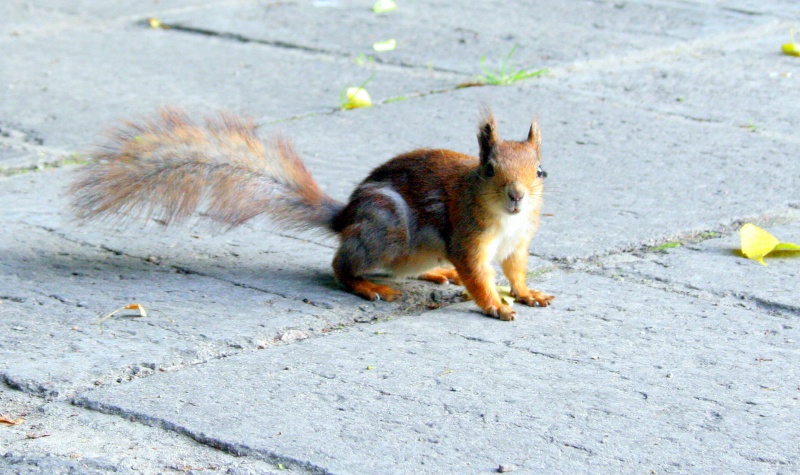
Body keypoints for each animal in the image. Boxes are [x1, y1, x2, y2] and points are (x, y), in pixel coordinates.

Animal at [69, 108, 553, 321]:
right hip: (386, 229)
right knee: (341, 265)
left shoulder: (517, 244)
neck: (506, 220)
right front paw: (497, 306)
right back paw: (368, 286)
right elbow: (477, 275)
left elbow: (515, 271)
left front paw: (527, 294)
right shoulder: (468, 238)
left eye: (540, 171)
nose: (517, 197)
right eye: (488, 169)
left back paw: (437, 274)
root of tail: (346, 218)